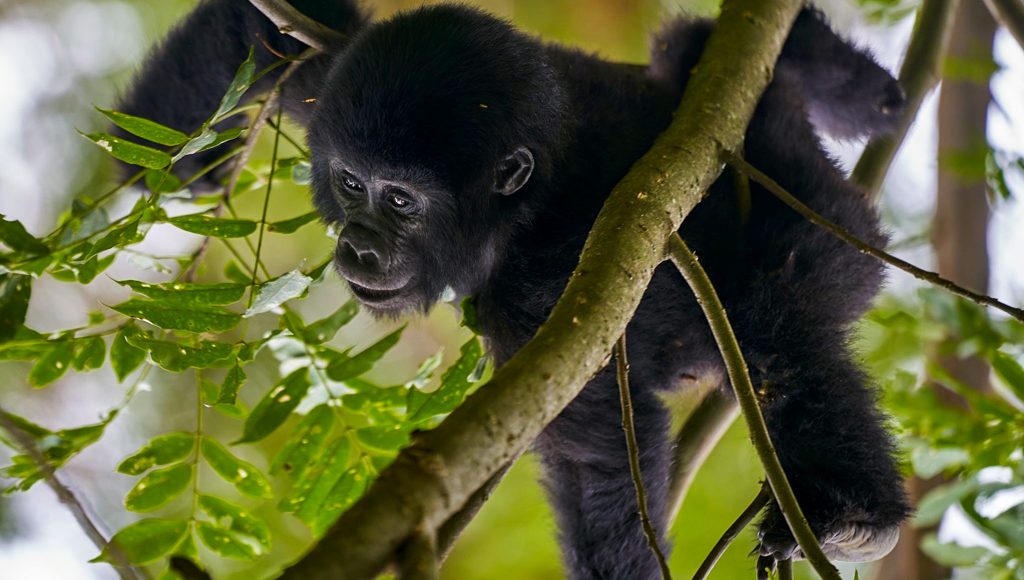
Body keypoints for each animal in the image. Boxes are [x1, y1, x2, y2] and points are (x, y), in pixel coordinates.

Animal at [116, 2, 910, 577]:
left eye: (400, 201)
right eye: (349, 183)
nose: (358, 245)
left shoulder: (547, 295)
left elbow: (597, 458)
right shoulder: (338, 77)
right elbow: (271, 27)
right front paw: (169, 164)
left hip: (816, 217)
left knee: (781, 329)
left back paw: (854, 514)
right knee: (688, 44)